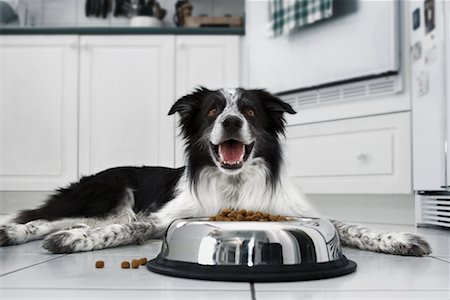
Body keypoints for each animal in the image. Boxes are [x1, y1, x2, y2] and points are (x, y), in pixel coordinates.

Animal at [0, 87, 430, 255]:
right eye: (211, 112)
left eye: (250, 112)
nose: (231, 121)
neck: (234, 184)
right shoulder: (162, 217)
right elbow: (129, 228)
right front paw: (81, 241)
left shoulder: (287, 209)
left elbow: (349, 225)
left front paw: (397, 238)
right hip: (111, 192)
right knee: (42, 218)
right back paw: (17, 232)